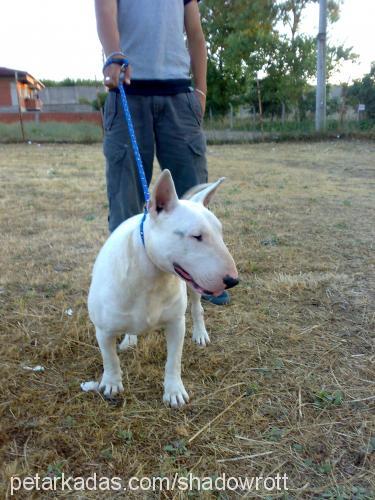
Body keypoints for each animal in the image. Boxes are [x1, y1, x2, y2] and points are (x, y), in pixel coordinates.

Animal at [88, 170, 238, 408]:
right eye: (196, 236)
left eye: (220, 233)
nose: (233, 280)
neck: (151, 275)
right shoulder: (103, 330)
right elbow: (109, 359)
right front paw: (111, 383)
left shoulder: (176, 324)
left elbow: (173, 362)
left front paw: (174, 392)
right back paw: (130, 339)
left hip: (194, 288)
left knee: (197, 309)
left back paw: (200, 333)